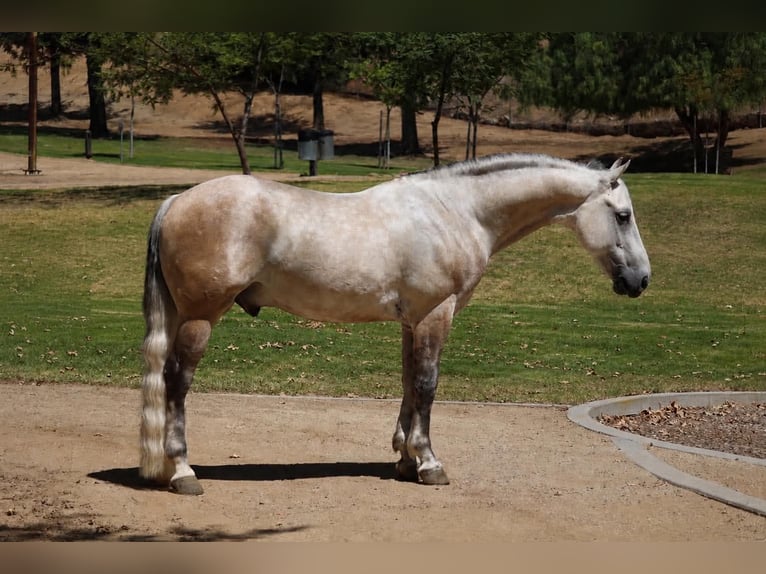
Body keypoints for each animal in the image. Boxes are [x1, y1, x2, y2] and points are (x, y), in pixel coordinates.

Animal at [139, 153, 650, 495]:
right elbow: (427, 385)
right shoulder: (436, 314)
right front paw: (428, 463)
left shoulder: (413, 321)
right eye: (623, 216)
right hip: (200, 318)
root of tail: (177, 201)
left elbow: (409, 383)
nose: (641, 280)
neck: (456, 211)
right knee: (177, 383)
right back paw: (182, 472)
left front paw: (404, 458)